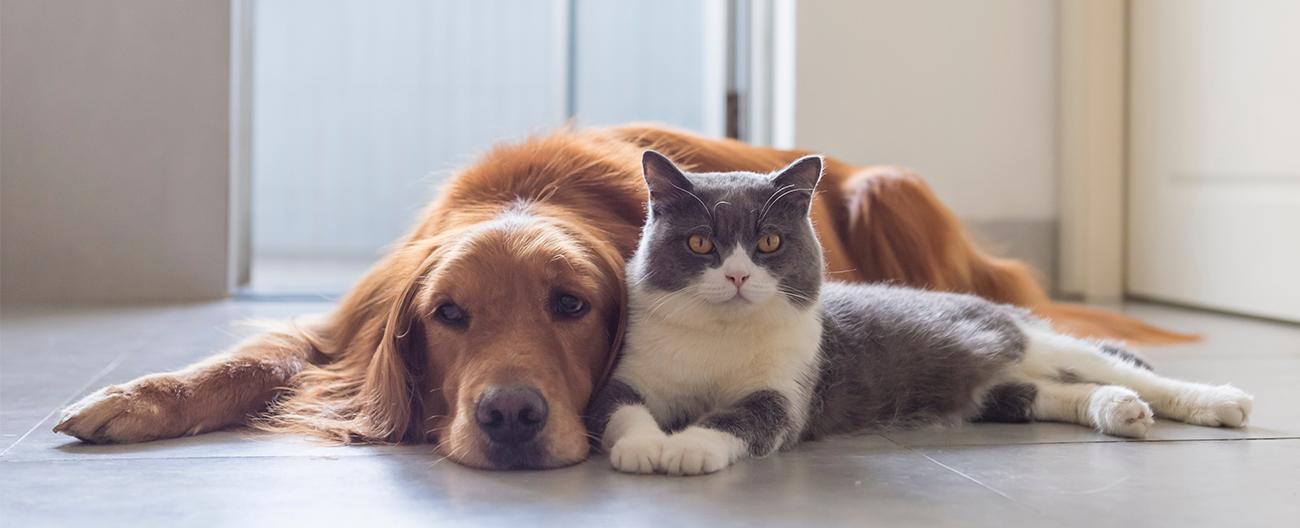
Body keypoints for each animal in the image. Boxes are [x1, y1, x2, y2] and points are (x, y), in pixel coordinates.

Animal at [53, 124, 1190, 470]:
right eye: (447, 316)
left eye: (571, 306)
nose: (512, 418)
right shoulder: (346, 324)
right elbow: (244, 359)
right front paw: (130, 401)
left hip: (889, 191)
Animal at [585, 150, 1253, 475]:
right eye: (701, 243)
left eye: (769, 242)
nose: (738, 274)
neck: (719, 339)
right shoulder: (627, 373)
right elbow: (622, 411)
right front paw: (646, 446)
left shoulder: (784, 391)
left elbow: (743, 419)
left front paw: (688, 449)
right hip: (995, 391)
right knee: (1053, 391)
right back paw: (1119, 409)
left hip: (1019, 335)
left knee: (1117, 366)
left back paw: (1216, 401)